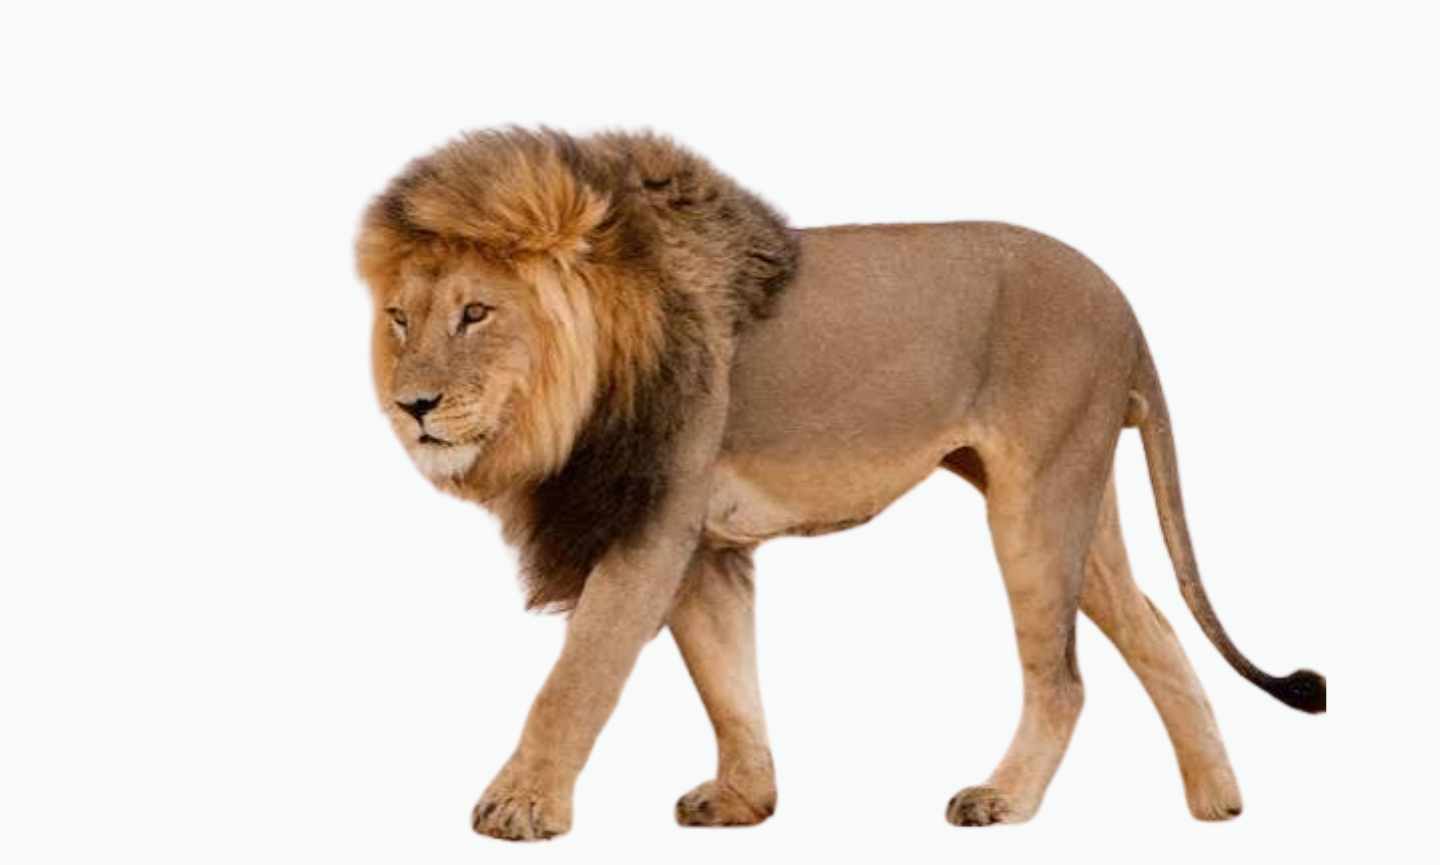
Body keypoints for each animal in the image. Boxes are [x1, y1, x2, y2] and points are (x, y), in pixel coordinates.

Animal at [354, 127, 1325, 841]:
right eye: (400, 318)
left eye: (476, 313)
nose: (412, 406)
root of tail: (1123, 301)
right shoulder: (702, 543)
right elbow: (727, 681)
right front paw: (743, 801)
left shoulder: (653, 526)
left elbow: (577, 675)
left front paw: (518, 807)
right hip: (1076, 493)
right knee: (1157, 630)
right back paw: (1219, 801)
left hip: (1037, 498)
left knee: (1063, 676)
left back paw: (1004, 799)